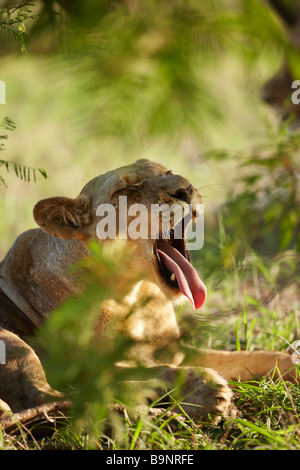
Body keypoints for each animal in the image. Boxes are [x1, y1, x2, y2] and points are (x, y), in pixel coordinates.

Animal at [0, 160, 296, 420]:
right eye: (126, 189)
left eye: (168, 172)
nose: (186, 189)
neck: (134, 291)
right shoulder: (84, 362)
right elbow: (149, 371)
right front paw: (201, 387)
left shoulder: (175, 350)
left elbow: (260, 357)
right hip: (13, 342)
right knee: (48, 396)